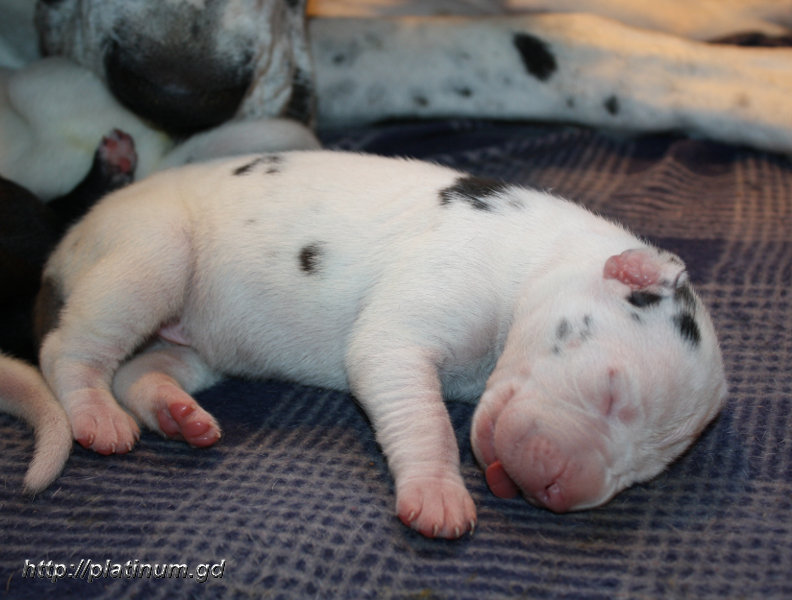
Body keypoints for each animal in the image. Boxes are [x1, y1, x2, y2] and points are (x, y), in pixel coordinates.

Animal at [5, 151, 726, 538]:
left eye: (645, 474)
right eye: (611, 391)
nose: (557, 492)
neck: (537, 261)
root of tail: (66, 246)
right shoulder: (400, 337)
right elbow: (425, 417)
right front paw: (437, 493)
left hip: (196, 345)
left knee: (140, 369)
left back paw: (174, 413)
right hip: (151, 255)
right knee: (69, 351)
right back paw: (95, 415)